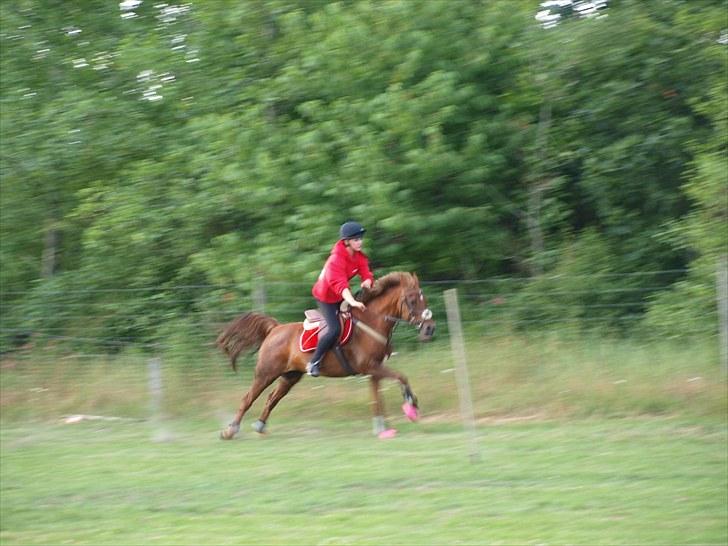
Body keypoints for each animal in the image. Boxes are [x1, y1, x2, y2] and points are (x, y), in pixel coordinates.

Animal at [215, 270, 432, 438]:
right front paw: (411, 404)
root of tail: (274, 329)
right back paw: (230, 430)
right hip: (265, 373)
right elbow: (401, 377)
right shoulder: (370, 367)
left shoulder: (375, 370)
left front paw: (382, 428)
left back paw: (260, 425)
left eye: (424, 299)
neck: (371, 324)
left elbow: (378, 398)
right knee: (248, 399)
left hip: (290, 376)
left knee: (272, 398)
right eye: (412, 300)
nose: (430, 328)